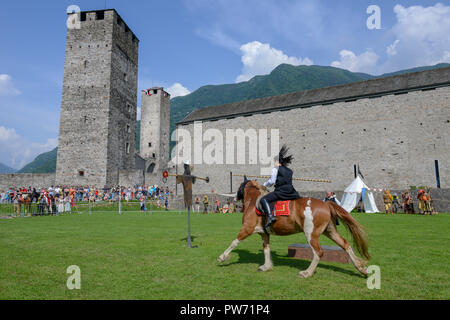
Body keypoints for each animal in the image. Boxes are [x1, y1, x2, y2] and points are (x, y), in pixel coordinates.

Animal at [217, 178, 370, 278]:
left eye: (240, 186)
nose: (234, 198)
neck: (254, 203)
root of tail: (326, 204)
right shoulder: (264, 234)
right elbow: (266, 250)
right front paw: (266, 266)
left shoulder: (247, 229)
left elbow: (234, 242)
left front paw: (222, 257)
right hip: (330, 231)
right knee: (346, 244)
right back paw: (361, 269)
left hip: (311, 235)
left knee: (318, 252)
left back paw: (307, 273)